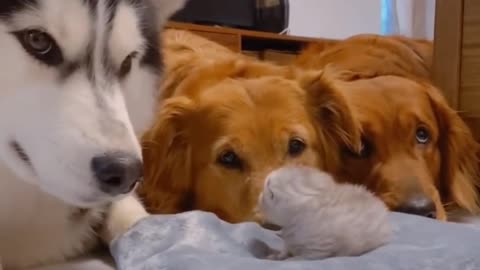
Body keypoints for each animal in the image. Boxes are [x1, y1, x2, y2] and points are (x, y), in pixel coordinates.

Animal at [256, 166, 392, 260]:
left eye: (268, 186)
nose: (259, 196)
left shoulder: (317, 249)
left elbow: (298, 258)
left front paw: (287, 258)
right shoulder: (290, 239)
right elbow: (286, 249)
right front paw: (277, 256)